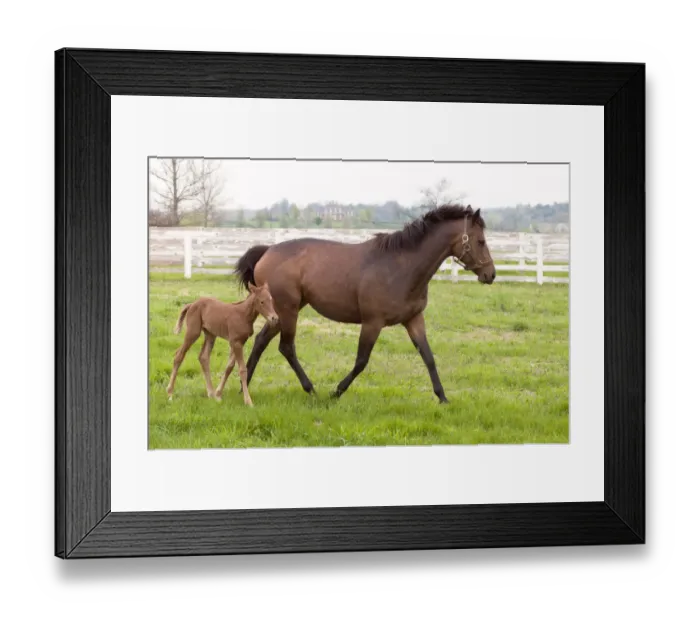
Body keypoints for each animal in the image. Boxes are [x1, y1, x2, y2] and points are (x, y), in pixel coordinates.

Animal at [233, 204, 495, 404]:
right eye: (481, 241)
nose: (490, 274)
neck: (402, 267)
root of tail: (267, 251)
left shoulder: (413, 319)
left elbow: (428, 356)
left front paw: (443, 398)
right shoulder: (372, 323)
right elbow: (361, 361)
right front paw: (336, 392)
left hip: (281, 313)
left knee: (261, 341)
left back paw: (244, 387)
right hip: (288, 311)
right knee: (286, 347)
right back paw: (311, 389)